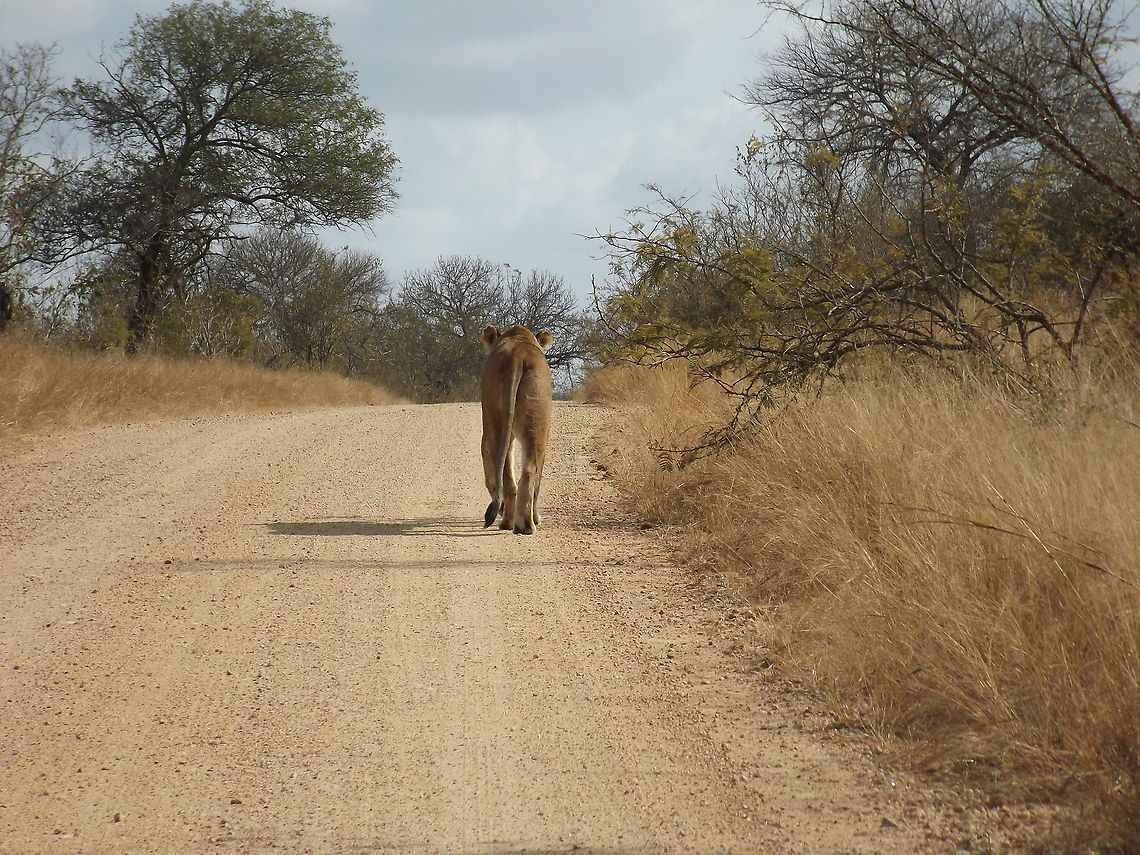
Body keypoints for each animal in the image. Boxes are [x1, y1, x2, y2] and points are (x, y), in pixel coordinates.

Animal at [480, 324, 554, 535]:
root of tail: (517, 356)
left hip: (495, 420)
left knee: (507, 474)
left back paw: (509, 522)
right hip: (536, 423)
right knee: (529, 471)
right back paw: (526, 525)